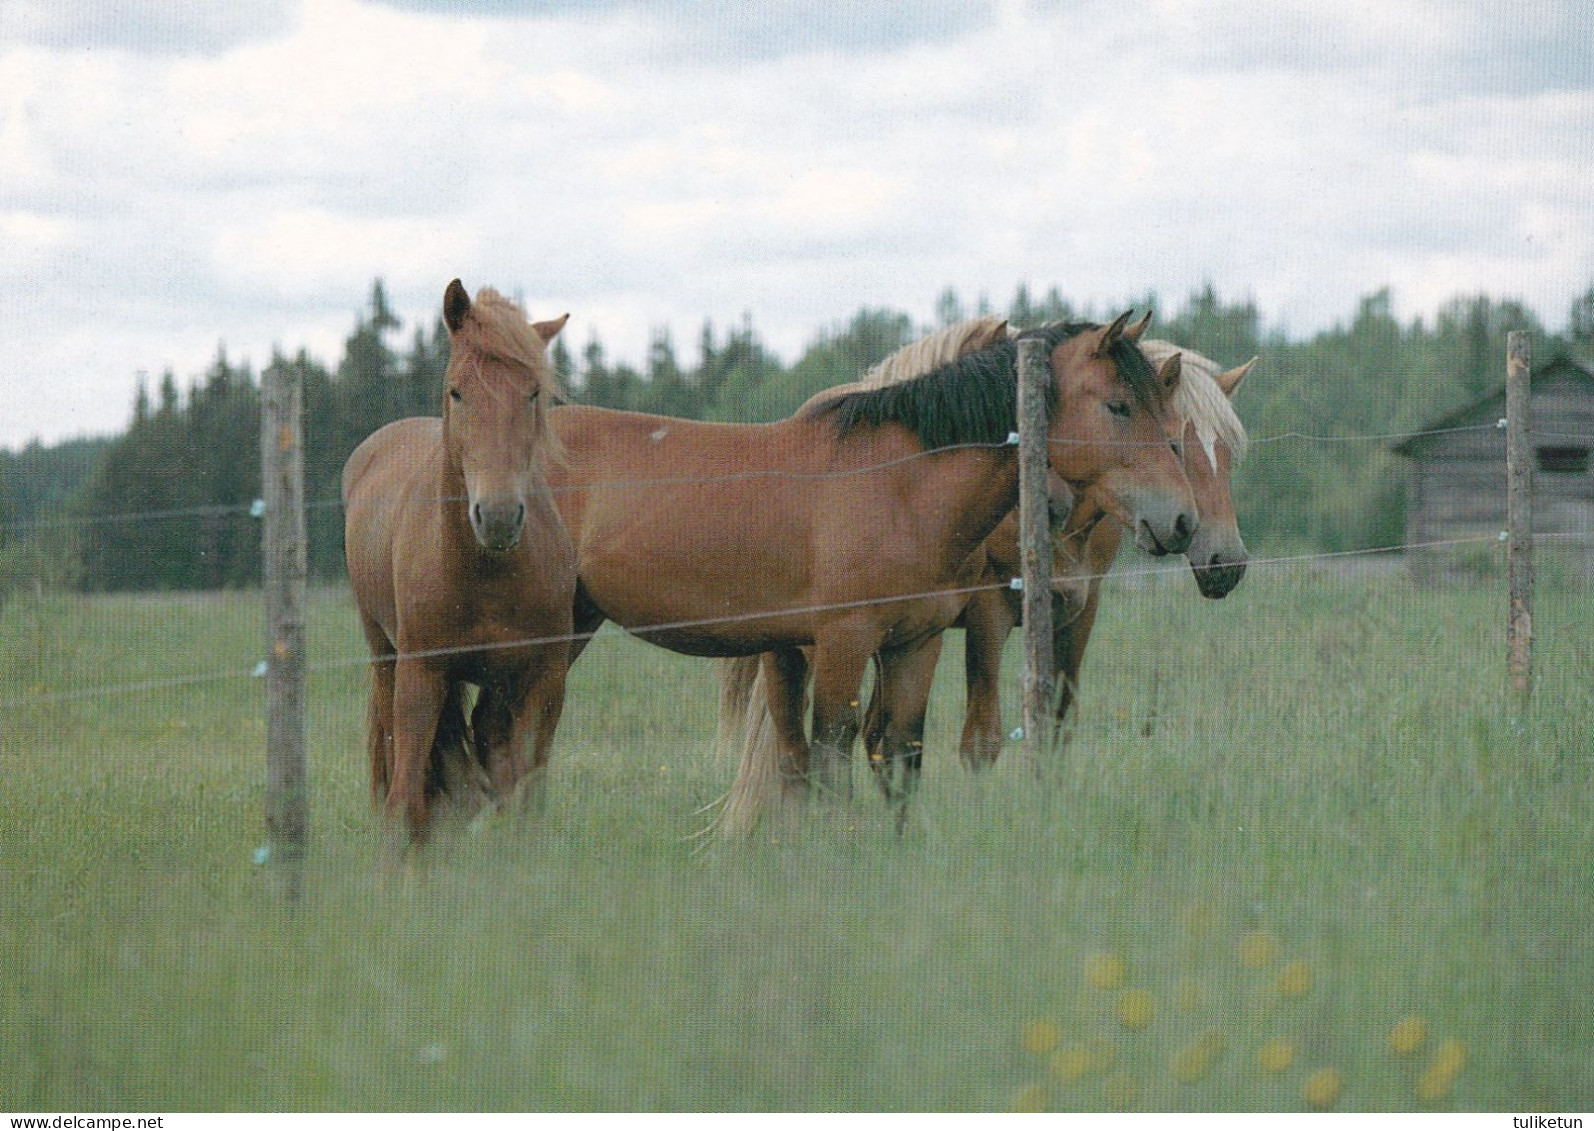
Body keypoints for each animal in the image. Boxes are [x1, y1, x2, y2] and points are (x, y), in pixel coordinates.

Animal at [342, 283, 580, 853]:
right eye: (457, 392)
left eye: (533, 393)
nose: (497, 516)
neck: (484, 571)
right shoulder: (421, 675)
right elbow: (406, 800)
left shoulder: (543, 679)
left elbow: (526, 802)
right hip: (385, 657)